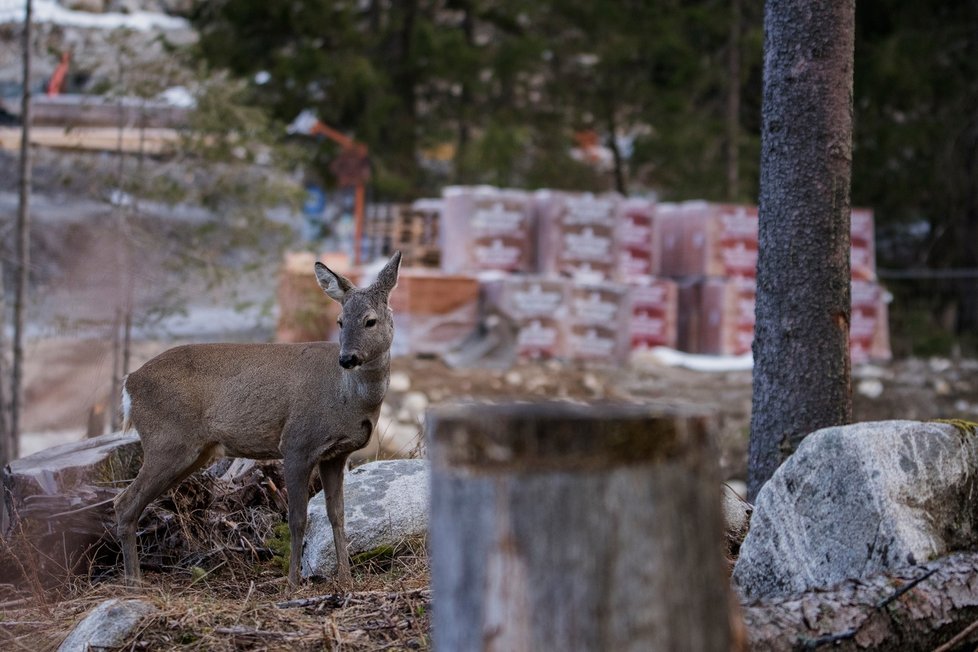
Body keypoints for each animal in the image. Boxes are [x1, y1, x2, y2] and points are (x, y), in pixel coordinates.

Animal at [114, 251, 400, 584]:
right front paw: (292, 584)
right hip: (166, 440)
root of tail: (129, 382)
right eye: (340, 321)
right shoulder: (297, 443)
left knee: (127, 502)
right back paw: (133, 582)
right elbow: (297, 519)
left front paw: (346, 580)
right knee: (124, 502)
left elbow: (338, 516)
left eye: (370, 320)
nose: (347, 358)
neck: (348, 397)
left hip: (193, 451)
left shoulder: (336, 454)